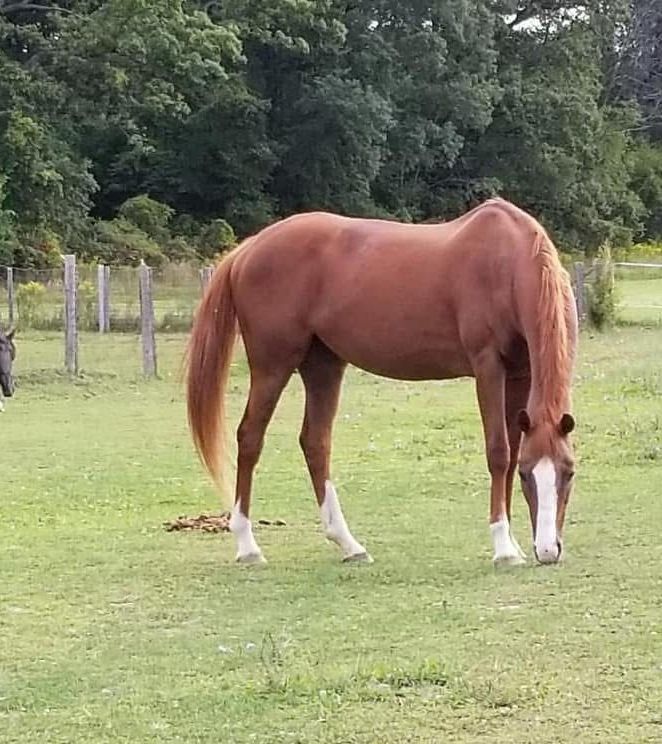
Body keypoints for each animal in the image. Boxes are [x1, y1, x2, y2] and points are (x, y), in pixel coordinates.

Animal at [186, 198, 577, 567]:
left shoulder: (520, 373)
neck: (505, 262)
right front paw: (504, 550)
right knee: (250, 437)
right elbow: (498, 452)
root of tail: (248, 248)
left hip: (323, 365)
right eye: (529, 475)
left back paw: (349, 545)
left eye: (569, 472)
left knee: (315, 442)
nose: (548, 550)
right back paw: (248, 546)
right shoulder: (488, 367)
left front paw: (513, 544)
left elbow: (510, 451)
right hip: (273, 365)